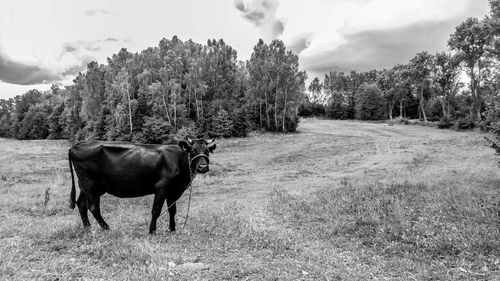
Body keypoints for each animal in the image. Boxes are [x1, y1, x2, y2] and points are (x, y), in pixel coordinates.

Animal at [67, 137, 215, 232]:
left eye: (207, 151)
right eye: (193, 150)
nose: (203, 167)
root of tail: (77, 145)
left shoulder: (174, 190)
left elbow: (172, 210)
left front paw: (172, 229)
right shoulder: (161, 188)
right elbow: (156, 211)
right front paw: (152, 231)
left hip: (85, 186)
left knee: (81, 204)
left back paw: (88, 228)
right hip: (91, 185)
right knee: (93, 208)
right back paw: (106, 228)